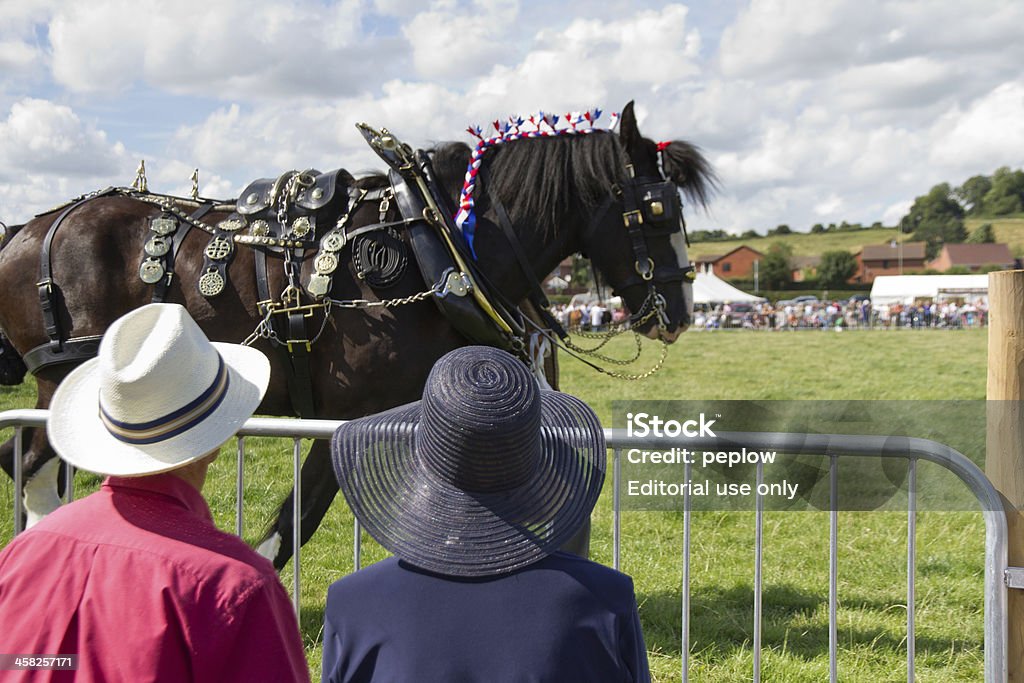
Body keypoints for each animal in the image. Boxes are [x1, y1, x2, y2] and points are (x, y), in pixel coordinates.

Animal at [0, 101, 716, 569]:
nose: (680, 311)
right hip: (61, 379)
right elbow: (297, 521)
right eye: (657, 208)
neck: (434, 241)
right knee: (33, 465)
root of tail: (32, 227)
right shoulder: (347, 414)